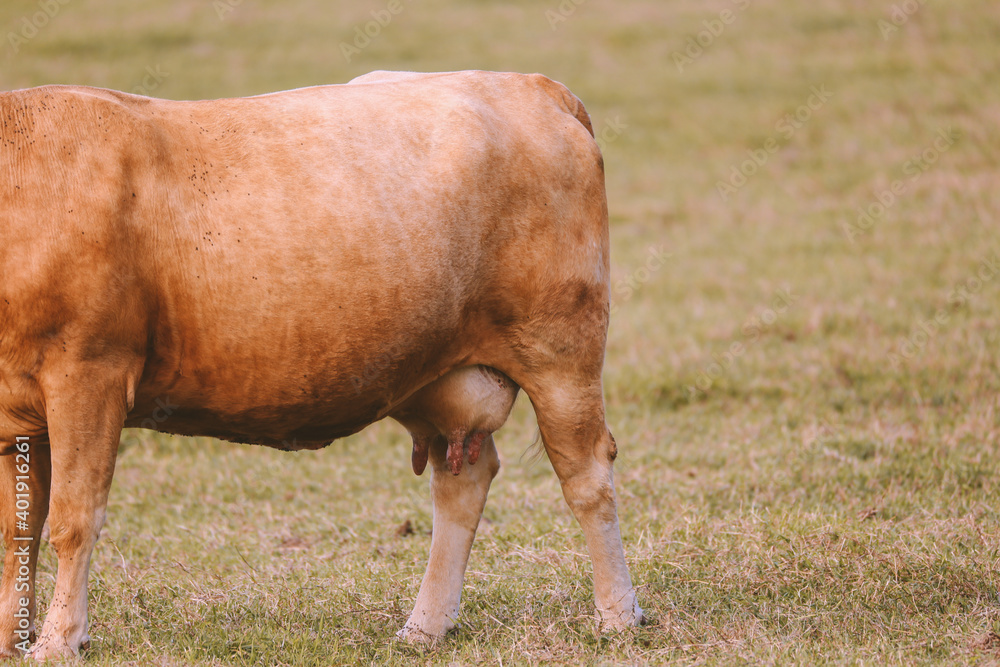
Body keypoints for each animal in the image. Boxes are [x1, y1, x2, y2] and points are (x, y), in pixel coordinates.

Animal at [0, 70, 644, 660]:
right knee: (463, 480)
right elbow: (18, 528)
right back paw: (425, 627)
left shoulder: (89, 369)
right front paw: (12, 636)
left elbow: (73, 518)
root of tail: (531, 84)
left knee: (587, 475)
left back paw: (618, 617)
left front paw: (58, 641)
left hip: (561, 350)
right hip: (441, 371)